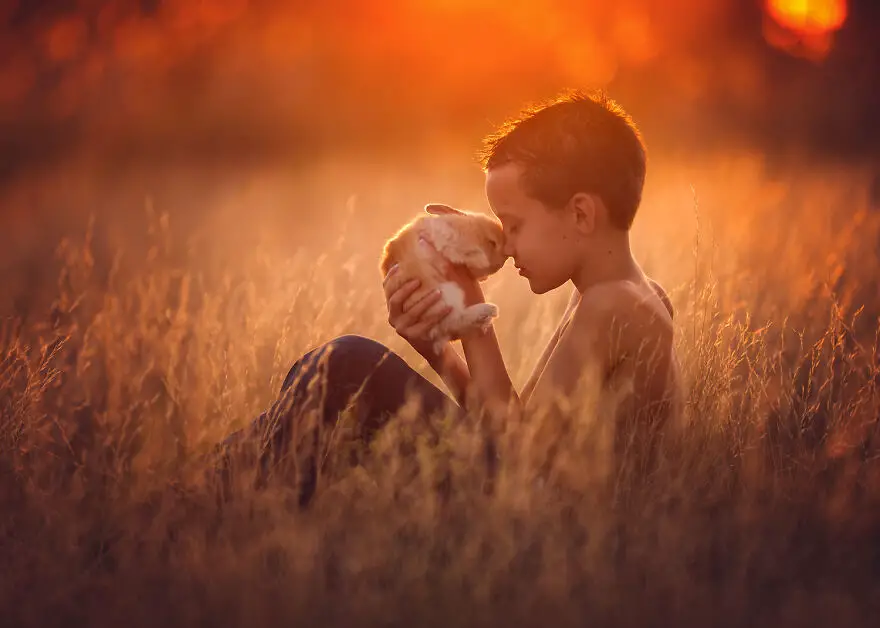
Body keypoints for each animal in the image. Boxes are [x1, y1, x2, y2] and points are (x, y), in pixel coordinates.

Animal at [380, 205, 508, 354]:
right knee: (454, 322)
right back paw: (489, 310)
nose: (500, 263)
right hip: (445, 297)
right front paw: (480, 259)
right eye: (492, 242)